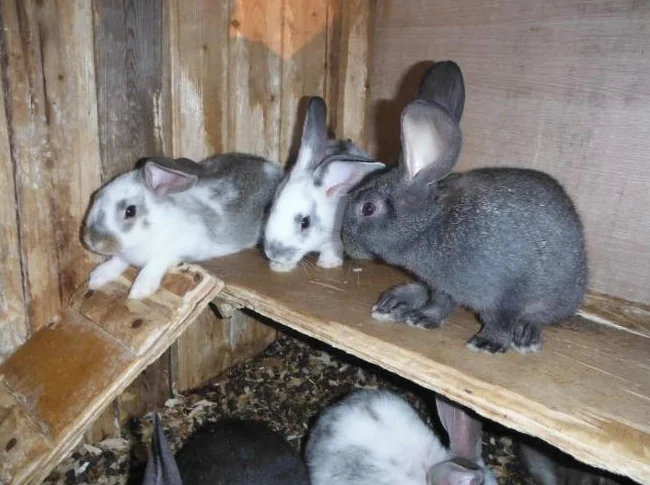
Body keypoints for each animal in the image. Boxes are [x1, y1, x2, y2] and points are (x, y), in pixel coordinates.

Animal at [83, 153, 283, 299]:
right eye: (96, 195)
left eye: (130, 211)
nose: (92, 241)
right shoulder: (125, 254)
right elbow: (118, 260)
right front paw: (97, 277)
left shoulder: (175, 252)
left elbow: (155, 263)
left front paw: (139, 290)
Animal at [263, 96, 385, 272]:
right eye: (271, 209)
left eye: (305, 223)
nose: (273, 253)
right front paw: (279, 267)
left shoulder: (334, 237)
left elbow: (332, 247)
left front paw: (329, 263)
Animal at [341, 60, 587, 354]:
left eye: (368, 208)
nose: (345, 242)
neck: (429, 224)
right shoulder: (442, 286)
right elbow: (440, 303)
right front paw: (422, 318)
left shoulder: (505, 295)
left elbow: (501, 320)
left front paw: (487, 343)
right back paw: (395, 302)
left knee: (540, 316)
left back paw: (526, 335)